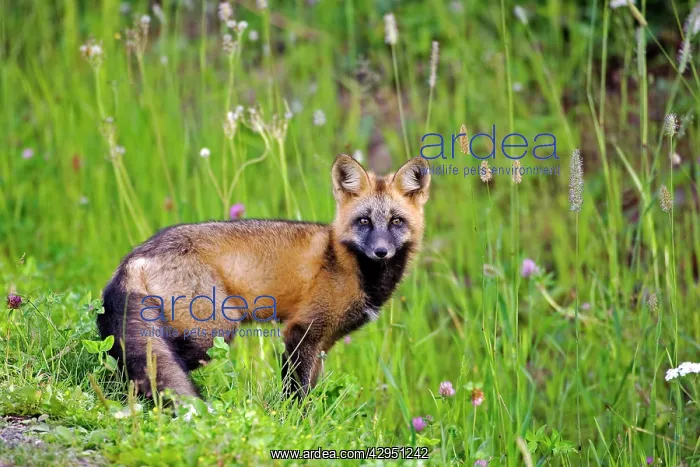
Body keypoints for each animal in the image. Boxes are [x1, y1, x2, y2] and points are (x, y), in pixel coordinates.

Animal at [97, 154, 431, 399]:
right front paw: (296, 424)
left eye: (396, 221)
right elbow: (296, 393)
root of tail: (136, 254)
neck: (345, 262)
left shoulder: (323, 341)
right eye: (364, 221)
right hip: (213, 331)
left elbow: (310, 388)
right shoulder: (301, 331)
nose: (381, 251)